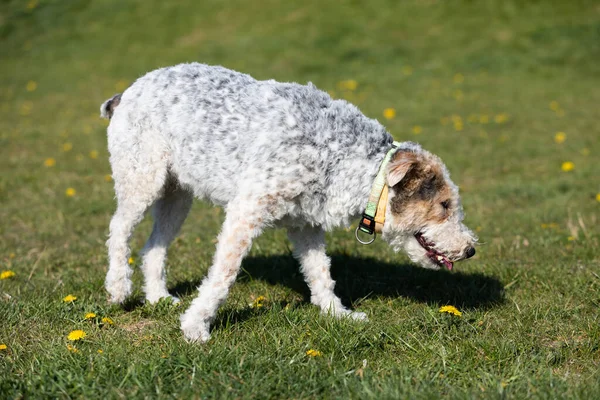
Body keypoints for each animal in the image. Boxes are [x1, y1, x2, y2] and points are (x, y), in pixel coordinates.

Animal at [102, 62, 478, 340]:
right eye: (445, 205)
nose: (471, 249)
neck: (341, 155)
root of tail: (129, 91)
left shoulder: (305, 224)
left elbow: (320, 273)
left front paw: (337, 314)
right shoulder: (245, 213)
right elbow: (223, 275)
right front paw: (195, 326)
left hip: (177, 195)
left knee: (154, 246)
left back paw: (157, 297)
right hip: (142, 181)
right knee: (118, 228)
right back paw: (119, 288)